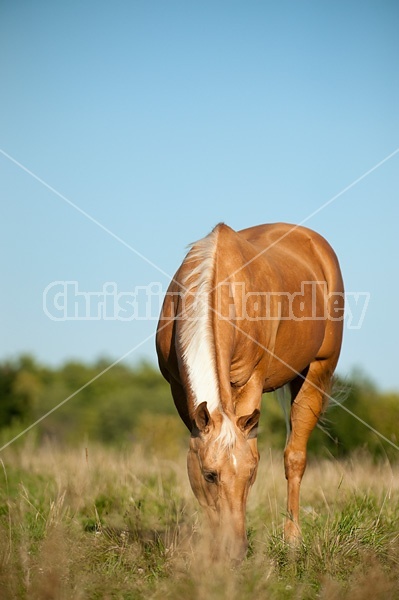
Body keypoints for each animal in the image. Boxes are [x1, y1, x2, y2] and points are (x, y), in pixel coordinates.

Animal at [155, 220, 344, 564]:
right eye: (209, 475)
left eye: (252, 474)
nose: (234, 552)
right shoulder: (178, 388)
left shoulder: (250, 382)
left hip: (317, 373)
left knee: (295, 457)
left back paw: (292, 539)